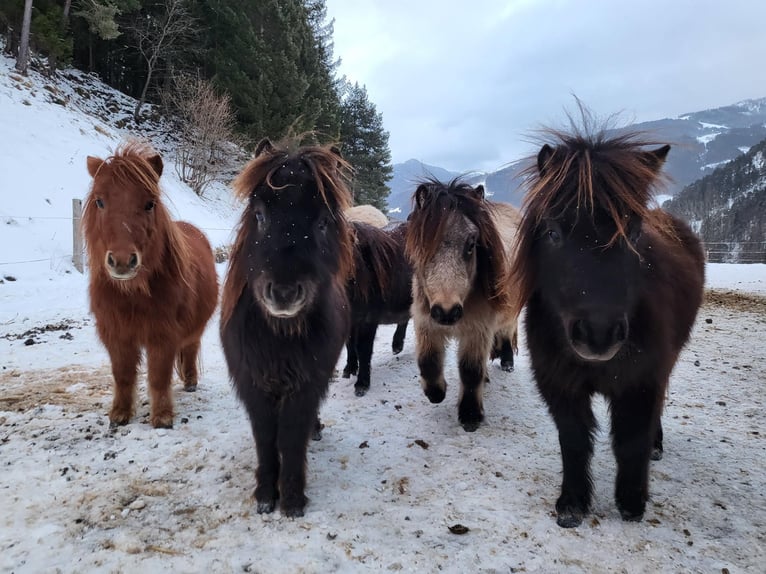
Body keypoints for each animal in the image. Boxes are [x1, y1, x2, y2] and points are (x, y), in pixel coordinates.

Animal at [83, 142, 219, 430]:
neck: (133, 294)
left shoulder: (163, 335)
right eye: (100, 201)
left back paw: (191, 382)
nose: (123, 261)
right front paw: (119, 414)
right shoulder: (117, 336)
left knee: (190, 348)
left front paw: (162, 418)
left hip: (195, 328)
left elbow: (158, 377)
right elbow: (123, 376)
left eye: (149, 204)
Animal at [344, 223, 414, 398]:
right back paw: (397, 346)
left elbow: (363, 349)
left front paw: (361, 385)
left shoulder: (368, 320)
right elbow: (350, 343)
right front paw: (349, 369)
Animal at [404, 180, 520, 432]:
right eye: (424, 244)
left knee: (507, 331)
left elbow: (470, 370)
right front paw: (437, 392)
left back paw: (507, 361)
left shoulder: (478, 329)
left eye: (471, 244)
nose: (447, 312)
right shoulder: (426, 322)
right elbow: (427, 361)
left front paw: (470, 415)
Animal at [516, 127, 708, 532]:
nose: (598, 334)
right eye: (553, 232)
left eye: (633, 233)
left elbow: (632, 439)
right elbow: (574, 440)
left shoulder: (641, 381)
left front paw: (632, 502)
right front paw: (572, 503)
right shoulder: (560, 384)